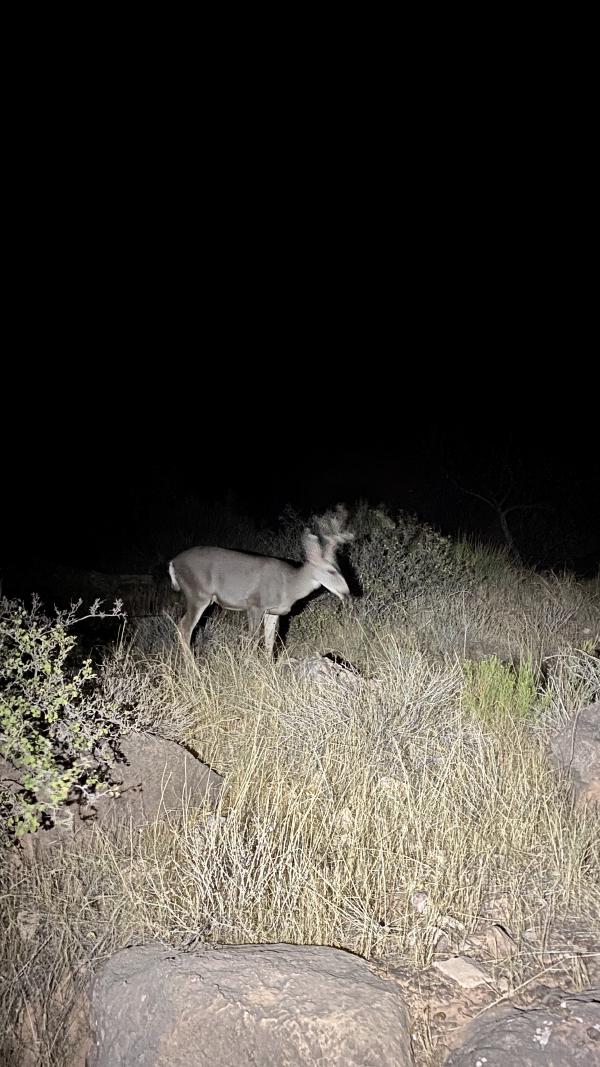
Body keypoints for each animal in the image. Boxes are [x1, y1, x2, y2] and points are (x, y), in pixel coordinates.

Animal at [165, 505, 352, 653]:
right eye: (330, 571)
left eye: (340, 568)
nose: (347, 592)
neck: (289, 585)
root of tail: (173, 562)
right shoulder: (255, 604)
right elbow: (253, 640)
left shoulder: (273, 612)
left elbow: (271, 642)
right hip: (198, 594)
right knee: (184, 628)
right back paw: (193, 670)